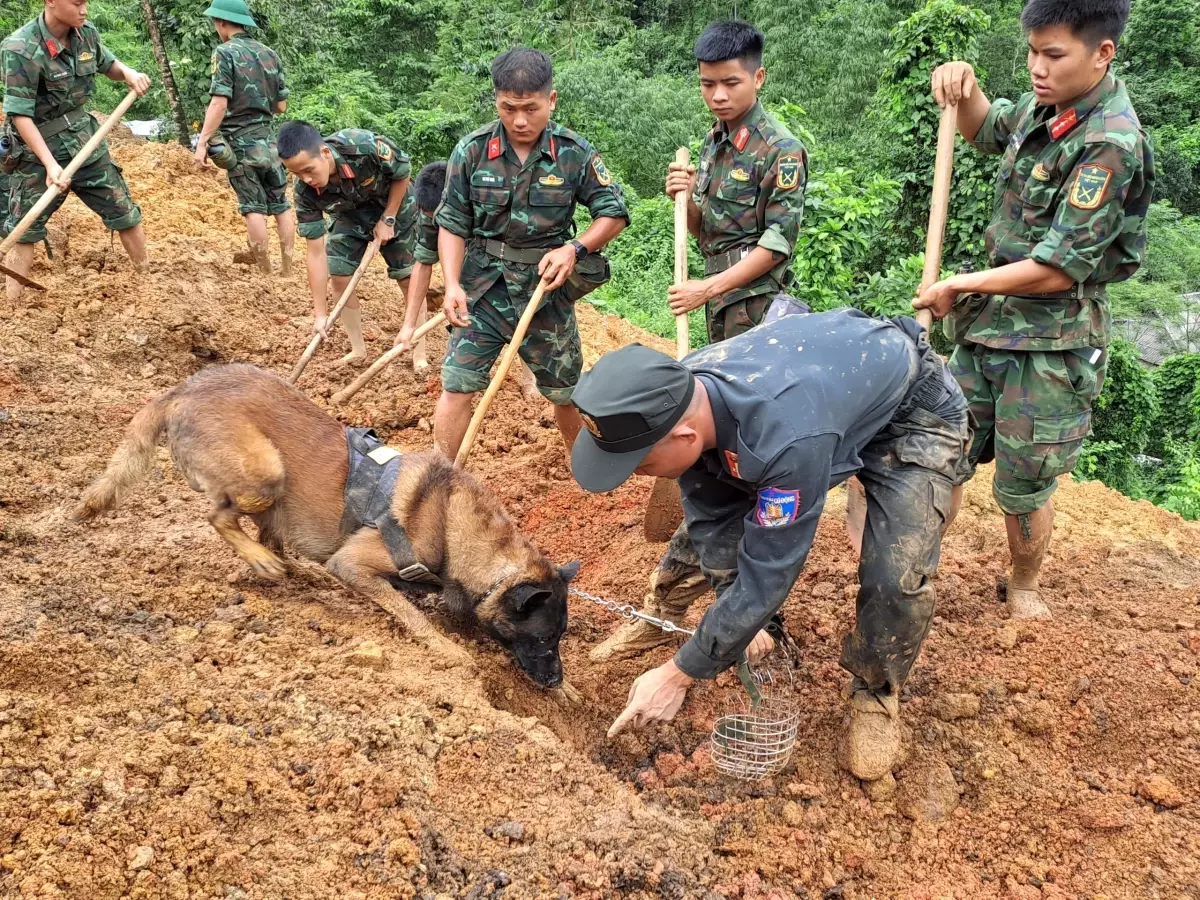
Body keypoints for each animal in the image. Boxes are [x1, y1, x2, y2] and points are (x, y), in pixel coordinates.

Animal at [75, 362, 580, 686]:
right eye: (544, 638)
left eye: (560, 638)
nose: (556, 682)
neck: (456, 529)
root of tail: (179, 391)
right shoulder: (356, 565)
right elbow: (411, 613)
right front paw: (446, 649)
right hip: (266, 473)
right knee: (217, 515)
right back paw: (264, 562)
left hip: (276, 498)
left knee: (268, 533)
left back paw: (291, 568)